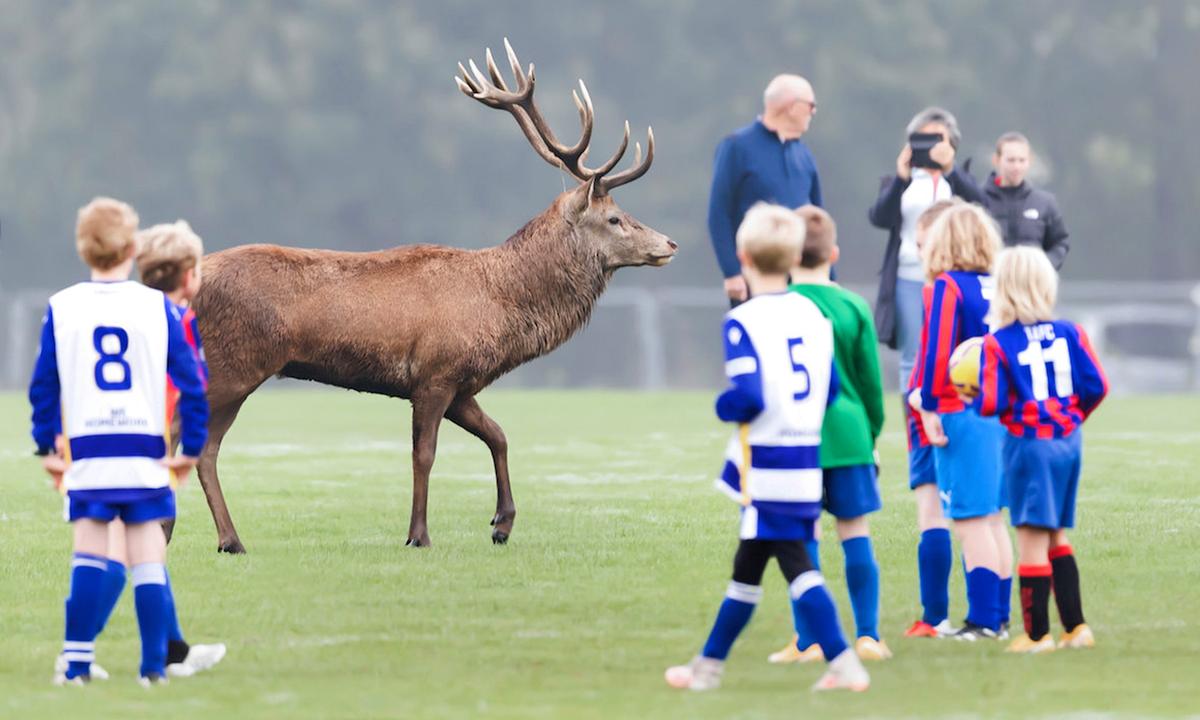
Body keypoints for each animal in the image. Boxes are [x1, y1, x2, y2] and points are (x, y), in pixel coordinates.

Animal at [182, 40, 677, 552]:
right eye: (615, 218)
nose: (670, 244)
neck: (501, 306)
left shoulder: (462, 384)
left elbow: (498, 435)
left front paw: (501, 524)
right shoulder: (435, 373)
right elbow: (425, 454)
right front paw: (419, 534)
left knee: (203, 449)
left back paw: (222, 538)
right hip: (233, 364)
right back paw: (205, 534)